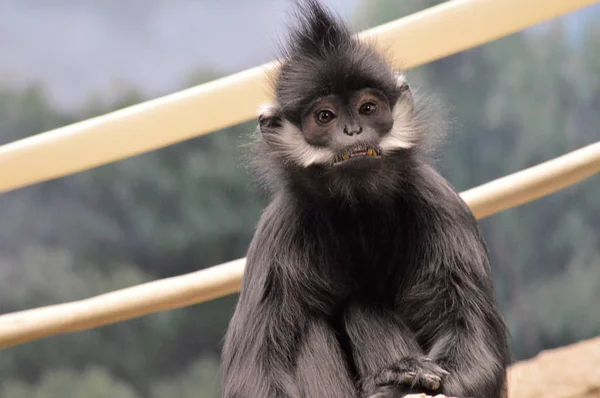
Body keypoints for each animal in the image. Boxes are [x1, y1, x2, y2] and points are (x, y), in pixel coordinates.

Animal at [223, 1, 508, 396]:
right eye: (324, 116)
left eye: (367, 109)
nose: (353, 130)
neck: (358, 212)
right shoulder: (278, 237)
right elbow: (252, 375)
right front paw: (400, 374)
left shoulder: (439, 204)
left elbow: (474, 342)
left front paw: (404, 375)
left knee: (361, 307)